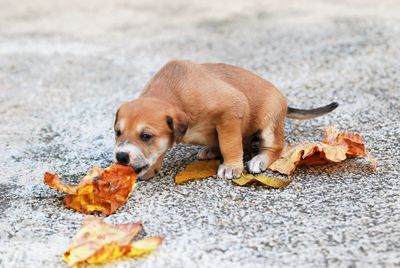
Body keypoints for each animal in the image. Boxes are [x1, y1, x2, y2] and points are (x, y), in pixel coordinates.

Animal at [112, 59, 338, 179]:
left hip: (269, 121)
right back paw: (212, 149)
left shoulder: (231, 111)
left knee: (273, 147)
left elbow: (230, 144)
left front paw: (230, 167)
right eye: (117, 132)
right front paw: (151, 169)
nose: (121, 157)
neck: (175, 94)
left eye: (146, 136)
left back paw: (259, 159)